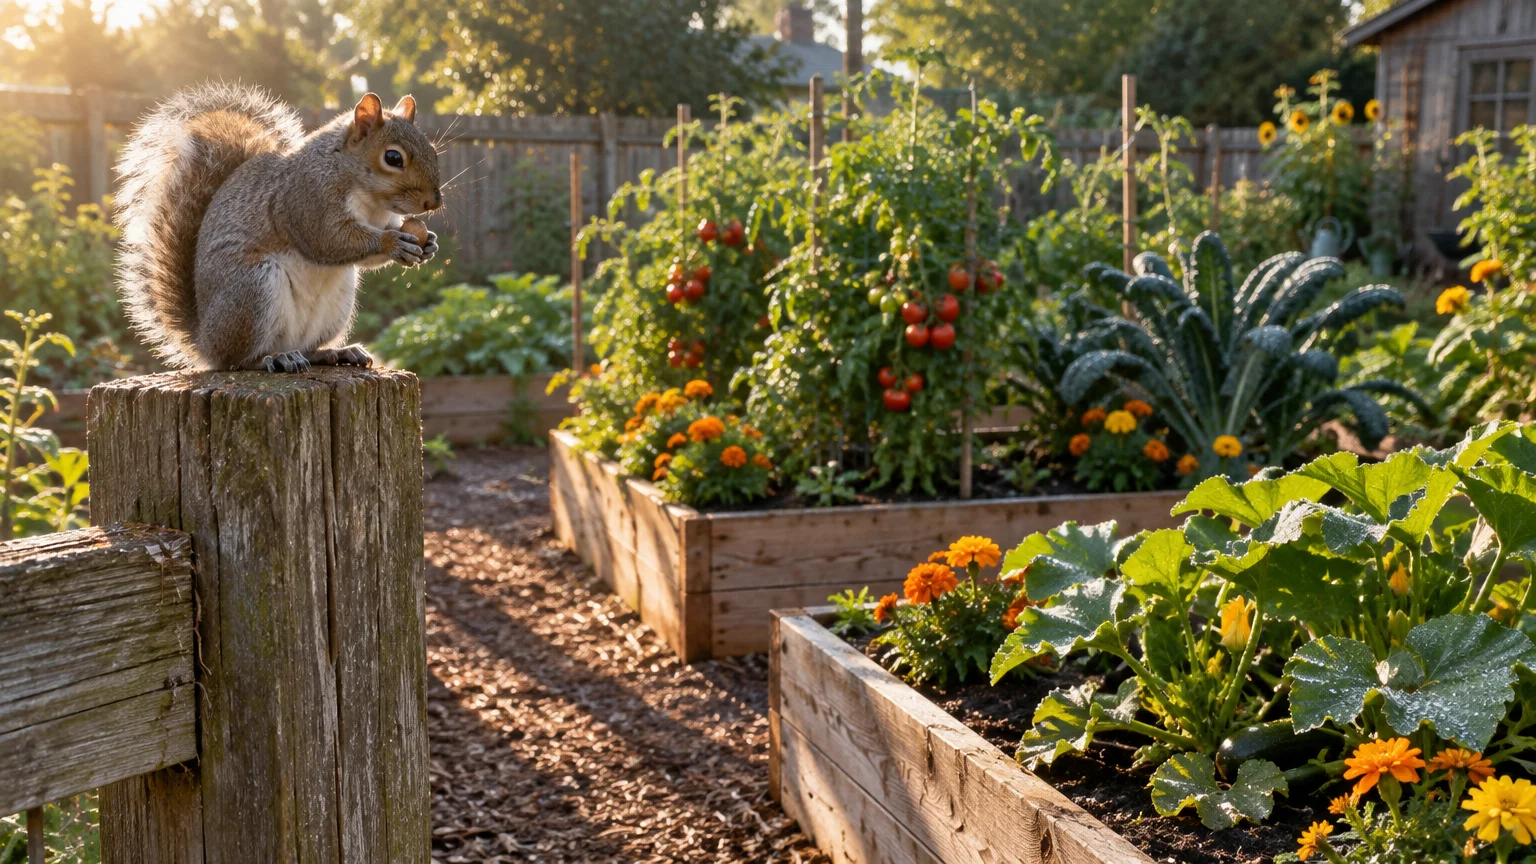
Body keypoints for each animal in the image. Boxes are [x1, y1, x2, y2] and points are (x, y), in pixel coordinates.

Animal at [115, 82, 444, 373]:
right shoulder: (306, 200)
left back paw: (334, 352)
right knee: (238, 361)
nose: (433, 202)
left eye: (433, 151)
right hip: (252, 290)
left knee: (306, 349)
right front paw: (393, 243)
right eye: (393, 157)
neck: (369, 199)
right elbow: (329, 240)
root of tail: (205, 342)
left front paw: (428, 243)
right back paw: (272, 359)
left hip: (335, 306)